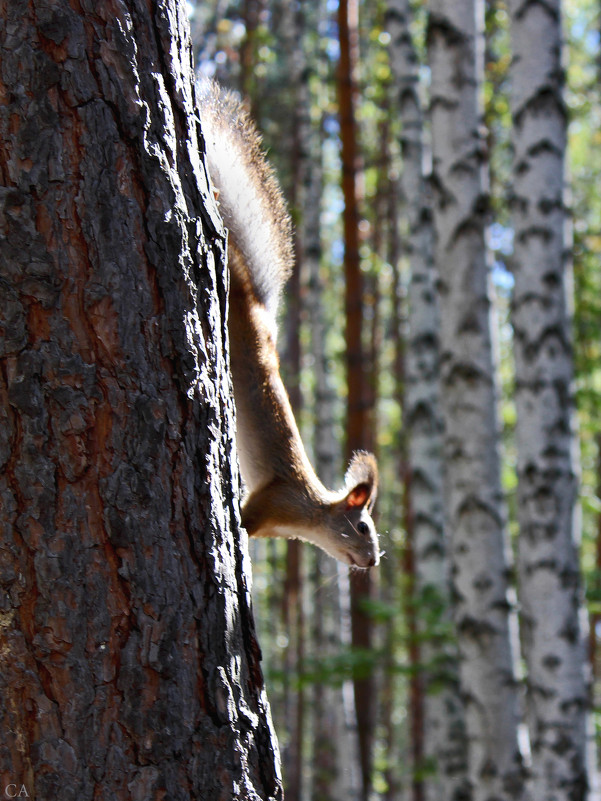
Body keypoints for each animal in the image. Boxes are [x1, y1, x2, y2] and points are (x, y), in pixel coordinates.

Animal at [198, 83, 380, 568]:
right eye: (362, 527)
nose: (374, 561)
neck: (308, 512)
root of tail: (260, 309)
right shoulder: (271, 502)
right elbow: (244, 521)